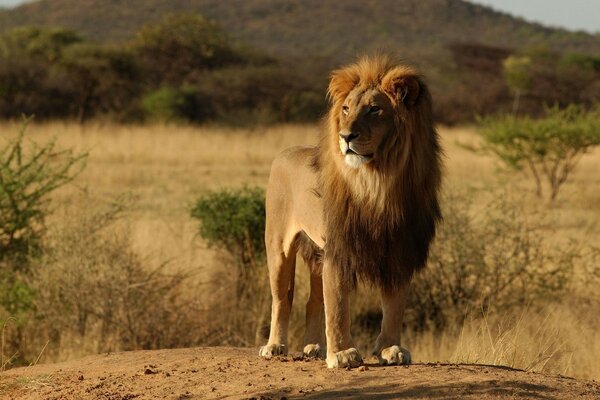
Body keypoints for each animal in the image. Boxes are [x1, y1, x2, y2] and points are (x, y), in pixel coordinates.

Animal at [258, 54, 440, 368]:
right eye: (346, 109)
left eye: (375, 109)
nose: (346, 136)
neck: (378, 182)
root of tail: (285, 152)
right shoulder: (340, 248)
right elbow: (338, 305)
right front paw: (342, 353)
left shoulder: (399, 248)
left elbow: (395, 305)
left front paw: (391, 349)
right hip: (279, 246)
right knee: (282, 298)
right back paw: (275, 346)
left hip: (317, 253)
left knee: (313, 301)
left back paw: (314, 347)